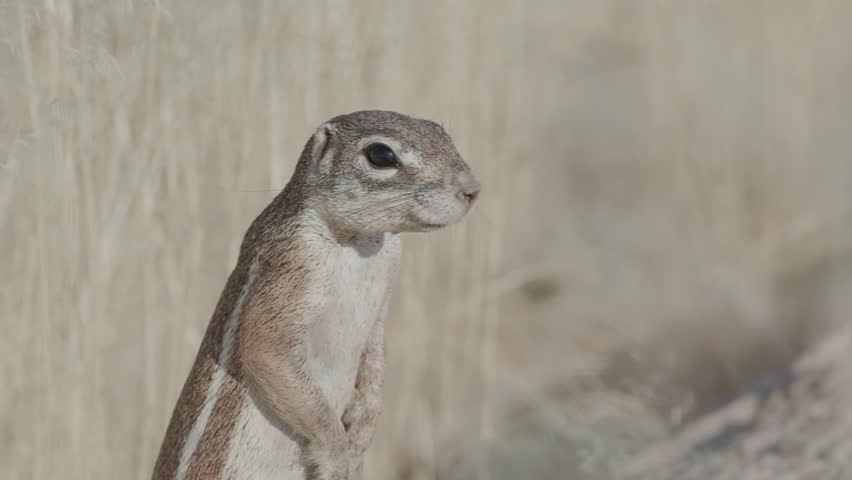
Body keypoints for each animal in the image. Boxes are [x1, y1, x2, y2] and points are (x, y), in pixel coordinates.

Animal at [151, 110, 481, 480]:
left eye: (441, 132)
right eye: (381, 155)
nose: (472, 190)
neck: (359, 244)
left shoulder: (382, 302)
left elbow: (376, 358)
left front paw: (362, 429)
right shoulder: (292, 264)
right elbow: (266, 351)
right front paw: (337, 454)